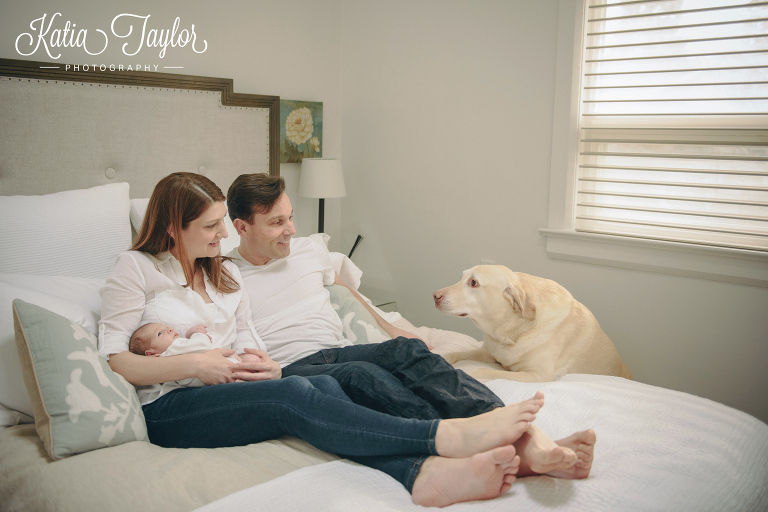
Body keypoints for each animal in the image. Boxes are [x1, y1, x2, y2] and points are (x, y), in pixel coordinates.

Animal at [432, 266, 632, 382]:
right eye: (462, 277)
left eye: (473, 283)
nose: (435, 295)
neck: (511, 331)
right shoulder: (488, 353)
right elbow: (456, 352)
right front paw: (440, 356)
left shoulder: (536, 375)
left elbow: (483, 371)